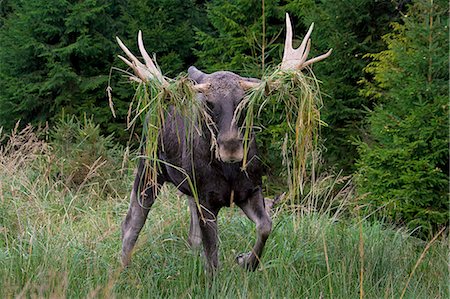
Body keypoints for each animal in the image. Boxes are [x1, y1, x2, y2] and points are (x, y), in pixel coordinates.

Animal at [118, 13, 332, 272]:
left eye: (245, 101)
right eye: (209, 103)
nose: (230, 146)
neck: (229, 172)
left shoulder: (251, 190)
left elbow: (265, 226)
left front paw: (246, 261)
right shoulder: (207, 201)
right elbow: (212, 259)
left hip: (188, 190)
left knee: (191, 234)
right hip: (148, 169)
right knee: (132, 222)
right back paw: (122, 267)